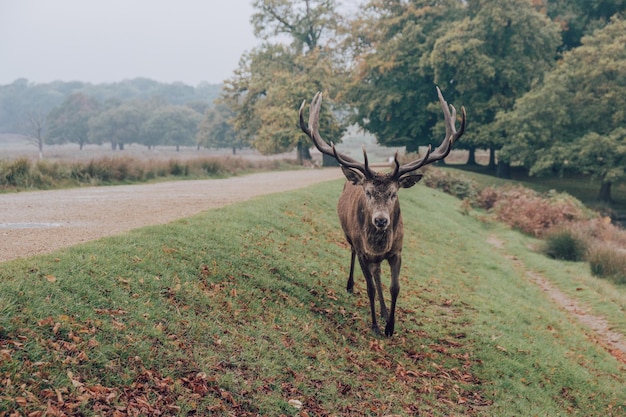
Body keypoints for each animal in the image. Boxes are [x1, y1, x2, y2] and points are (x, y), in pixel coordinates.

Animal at [298, 87, 464, 334]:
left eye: (394, 194)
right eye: (367, 192)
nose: (381, 220)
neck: (378, 246)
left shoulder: (397, 251)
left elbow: (395, 287)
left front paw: (390, 326)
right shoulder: (363, 251)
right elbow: (369, 288)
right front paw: (376, 326)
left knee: (378, 273)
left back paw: (385, 311)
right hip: (350, 238)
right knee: (356, 258)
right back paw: (350, 286)